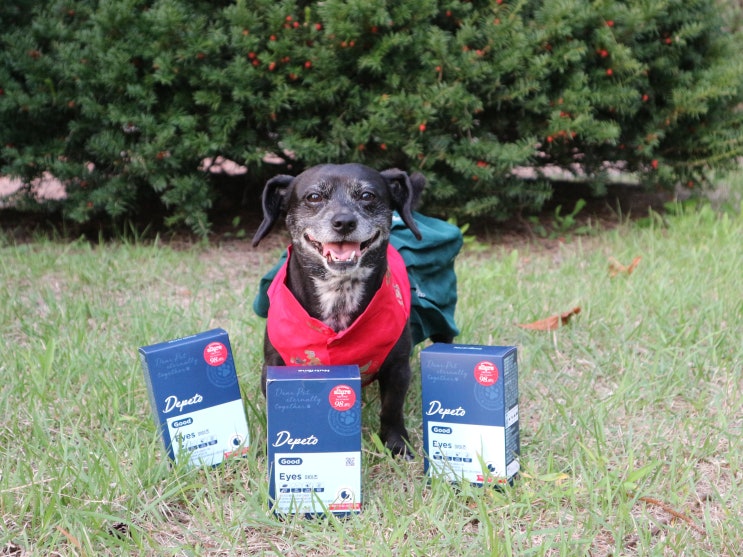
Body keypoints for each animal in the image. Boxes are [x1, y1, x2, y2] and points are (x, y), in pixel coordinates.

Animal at [251, 161, 422, 456]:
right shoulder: (274, 367)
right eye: (314, 197)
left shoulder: (398, 367)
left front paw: (396, 444)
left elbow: (391, 408)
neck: (339, 294)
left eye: (367, 195)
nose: (343, 222)